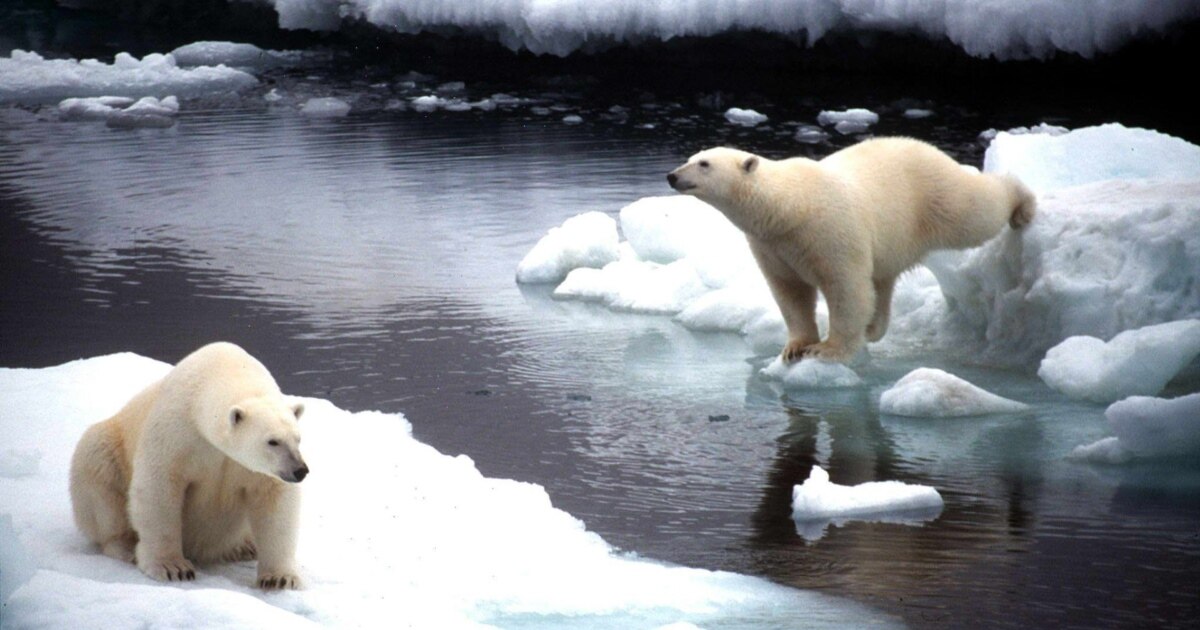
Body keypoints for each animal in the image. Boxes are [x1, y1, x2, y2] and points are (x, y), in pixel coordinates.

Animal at [69, 341, 308, 589]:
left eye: (298, 438)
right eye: (273, 441)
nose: (300, 470)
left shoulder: (254, 469)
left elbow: (275, 502)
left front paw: (279, 578)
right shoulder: (177, 432)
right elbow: (159, 488)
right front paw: (172, 568)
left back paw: (244, 547)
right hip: (108, 448)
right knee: (100, 480)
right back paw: (125, 546)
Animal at [667, 138, 1035, 363]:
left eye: (704, 164)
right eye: (690, 159)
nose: (672, 175)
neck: (789, 207)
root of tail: (932, 150)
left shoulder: (829, 232)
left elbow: (846, 287)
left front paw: (826, 350)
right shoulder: (772, 245)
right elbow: (790, 292)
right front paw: (794, 347)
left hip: (933, 196)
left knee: (975, 211)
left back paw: (1022, 204)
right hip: (894, 236)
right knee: (883, 280)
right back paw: (874, 328)